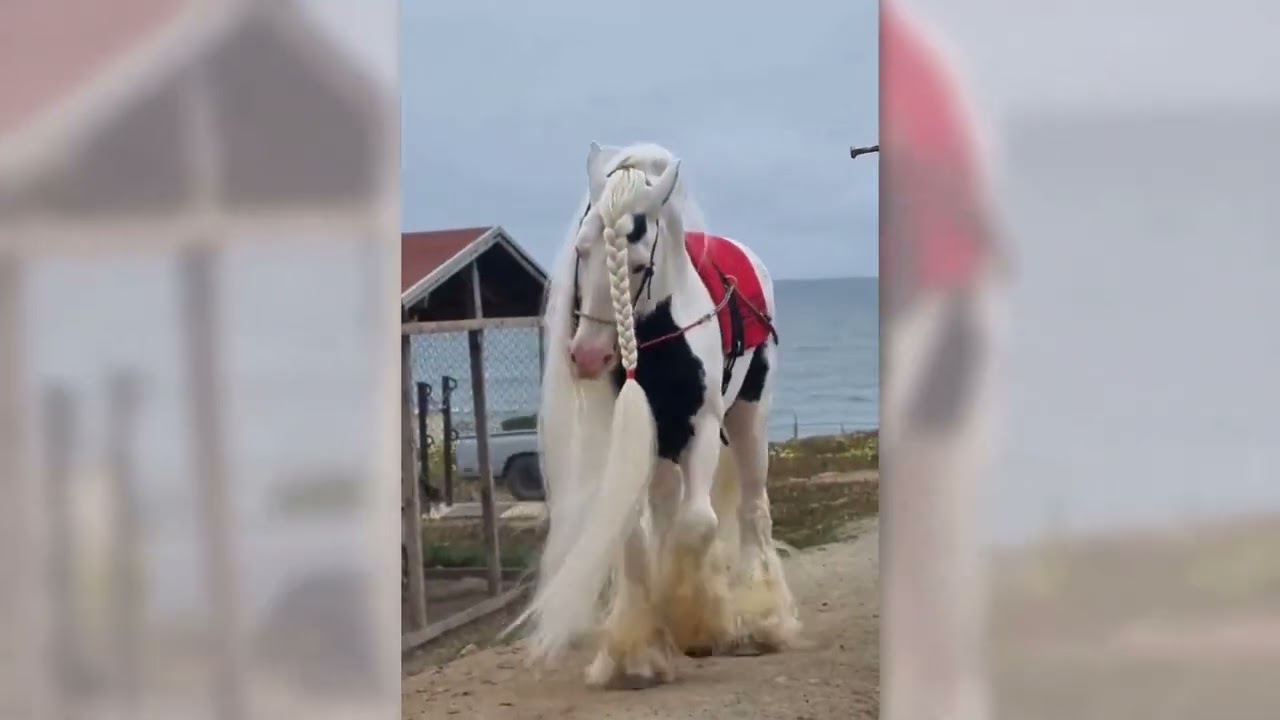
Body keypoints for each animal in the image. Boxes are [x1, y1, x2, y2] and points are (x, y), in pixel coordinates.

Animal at [506, 142, 801, 689]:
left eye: (640, 265)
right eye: (582, 250)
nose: (587, 356)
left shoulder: (701, 428)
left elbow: (699, 522)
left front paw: (697, 623)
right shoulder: (634, 433)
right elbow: (635, 535)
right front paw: (639, 651)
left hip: (748, 418)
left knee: (752, 509)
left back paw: (761, 621)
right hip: (664, 444)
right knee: (666, 510)